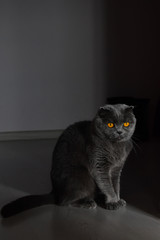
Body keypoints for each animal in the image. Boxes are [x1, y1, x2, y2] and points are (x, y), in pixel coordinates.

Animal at [0, 103, 136, 218]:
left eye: (126, 124)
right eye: (110, 125)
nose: (119, 131)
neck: (116, 147)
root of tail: (55, 191)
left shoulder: (117, 169)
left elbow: (116, 185)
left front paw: (118, 199)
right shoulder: (99, 165)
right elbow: (107, 185)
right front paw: (113, 202)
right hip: (82, 176)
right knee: (63, 202)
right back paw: (88, 202)